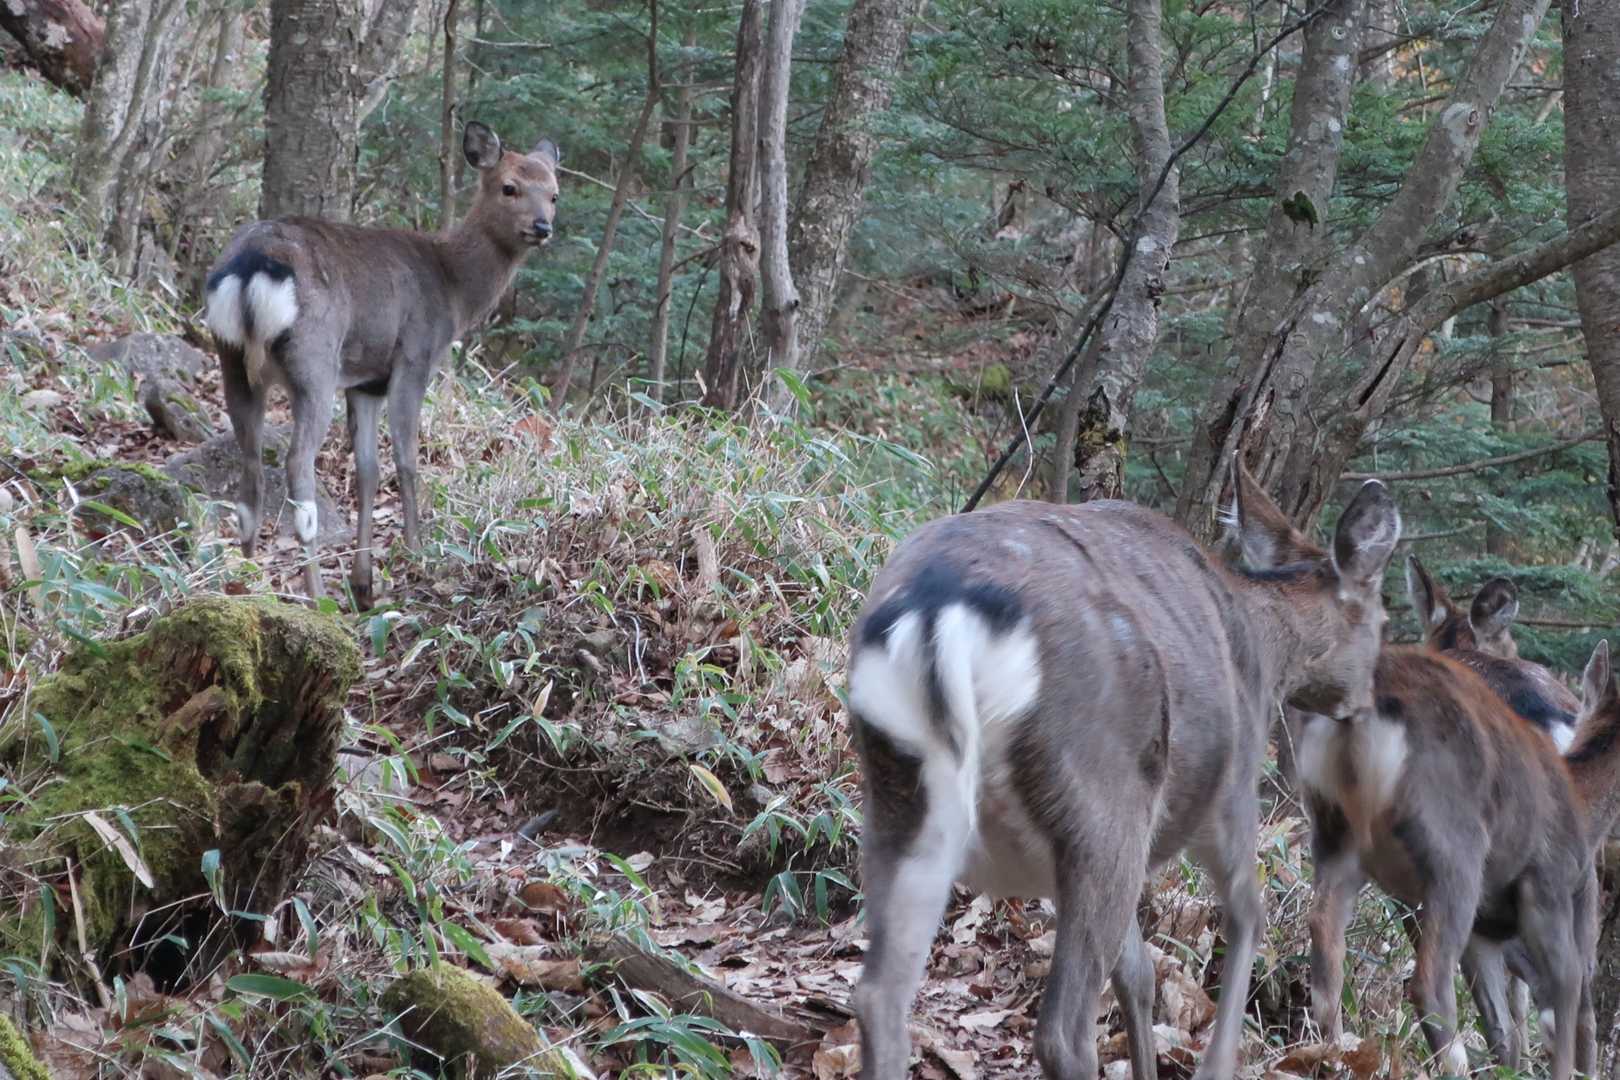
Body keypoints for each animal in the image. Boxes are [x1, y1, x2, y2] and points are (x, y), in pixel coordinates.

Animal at [203, 121, 560, 607]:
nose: (542, 226)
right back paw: (315, 594)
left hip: (231, 358)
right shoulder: (414, 356)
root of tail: (251, 268)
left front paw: (364, 583)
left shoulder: (365, 380)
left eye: (555, 193)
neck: (452, 288)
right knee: (297, 463)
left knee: (251, 466)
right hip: (314, 362)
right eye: (509, 187)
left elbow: (368, 470)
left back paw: (245, 583)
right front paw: (417, 552)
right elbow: (407, 459)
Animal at [845, 460, 1401, 1080]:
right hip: (1105, 794)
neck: (1266, 650)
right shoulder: (1232, 786)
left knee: (878, 996)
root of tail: (938, 609)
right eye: (1383, 620)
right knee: (1062, 1032)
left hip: (904, 796)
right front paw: (1217, 1063)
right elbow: (1247, 915)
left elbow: (1138, 970)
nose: (1369, 702)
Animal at [1299, 637, 1618, 1080]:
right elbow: (1564, 1015)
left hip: (1334, 833)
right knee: (1432, 986)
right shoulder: (1550, 888)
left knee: (1325, 948)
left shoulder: (1485, 933)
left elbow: (1505, 1031)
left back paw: (1332, 1059)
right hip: (1455, 852)